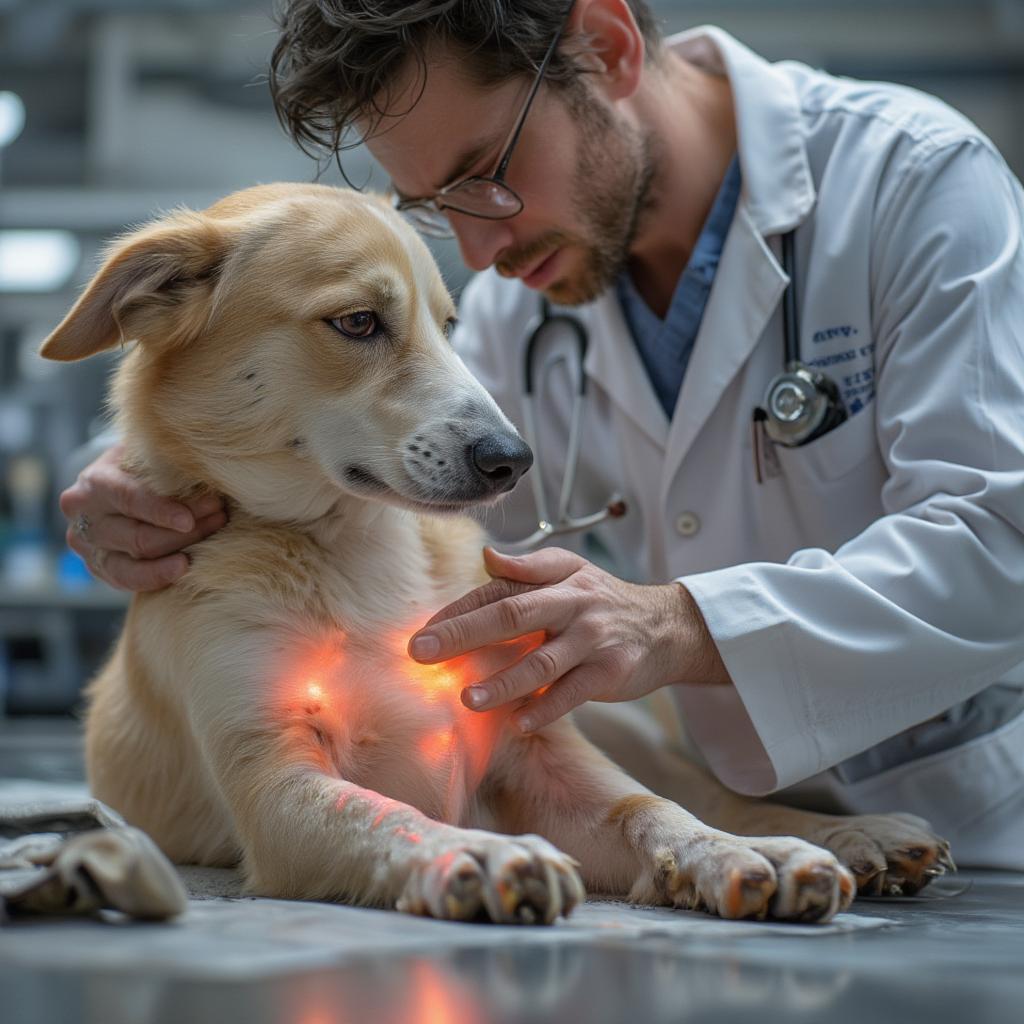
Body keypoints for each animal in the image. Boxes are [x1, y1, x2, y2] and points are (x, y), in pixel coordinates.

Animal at [39, 186, 950, 929]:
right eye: (358, 322)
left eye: (449, 327)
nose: (512, 459)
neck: (356, 549)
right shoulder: (274, 783)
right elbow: (384, 813)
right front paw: (474, 852)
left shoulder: (541, 752)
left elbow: (651, 810)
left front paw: (733, 853)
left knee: (714, 790)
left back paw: (853, 834)